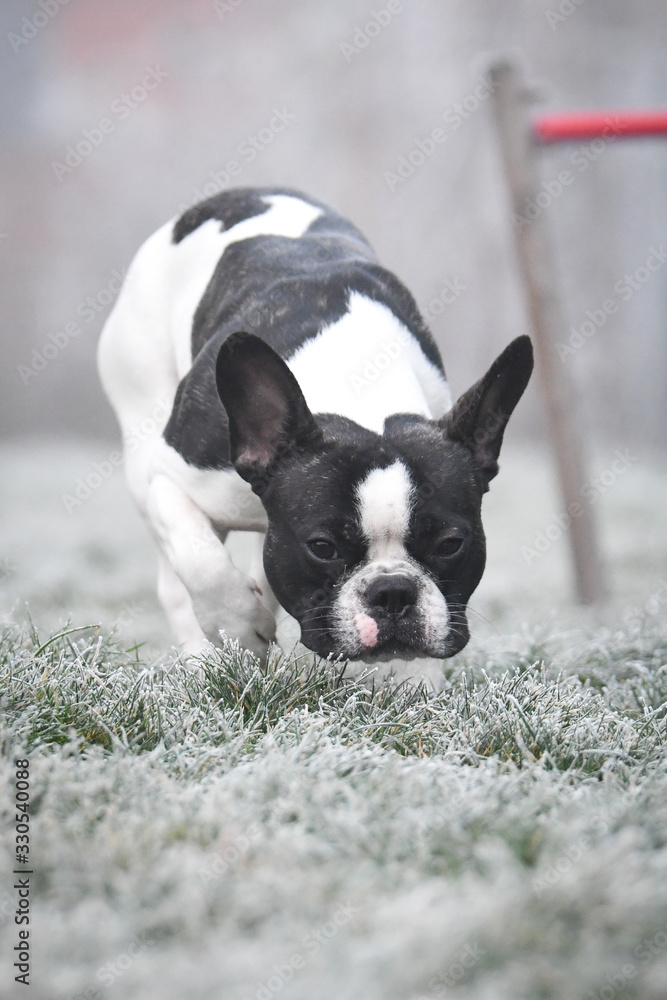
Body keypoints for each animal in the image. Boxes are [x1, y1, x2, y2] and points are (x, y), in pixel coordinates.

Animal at [98, 188, 532, 672]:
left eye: (451, 544)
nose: (392, 591)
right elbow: (201, 560)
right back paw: (200, 656)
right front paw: (238, 626)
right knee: (176, 576)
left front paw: (414, 679)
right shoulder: (172, 478)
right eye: (322, 547)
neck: (361, 383)